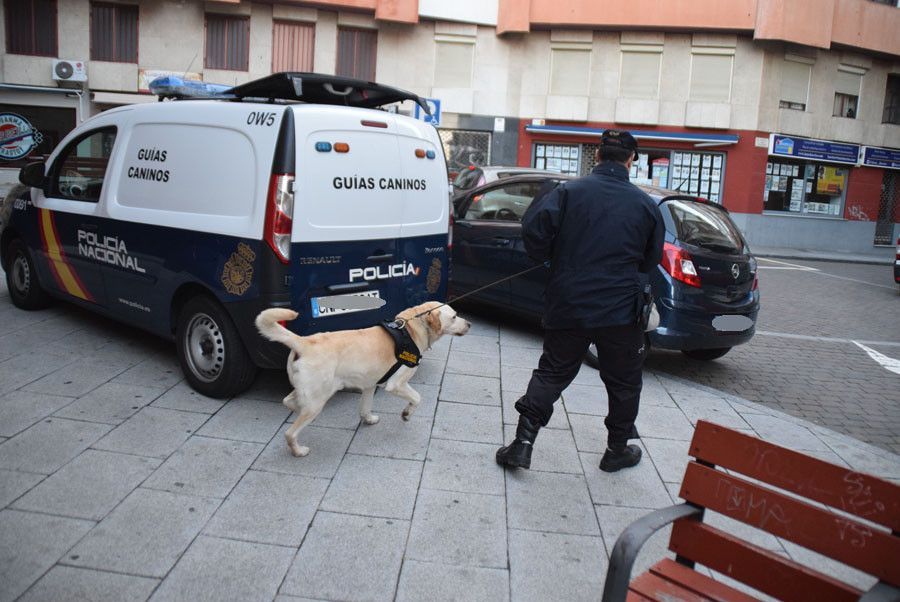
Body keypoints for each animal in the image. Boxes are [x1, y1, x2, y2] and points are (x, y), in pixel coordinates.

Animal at [251, 302, 468, 458]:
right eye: (454, 316)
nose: (469, 324)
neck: (410, 329)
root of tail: (304, 342)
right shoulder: (396, 384)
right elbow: (417, 398)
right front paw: (406, 413)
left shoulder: (370, 385)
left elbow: (365, 408)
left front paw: (369, 419)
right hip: (317, 401)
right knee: (290, 432)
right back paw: (298, 451)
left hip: (308, 392)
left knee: (288, 401)